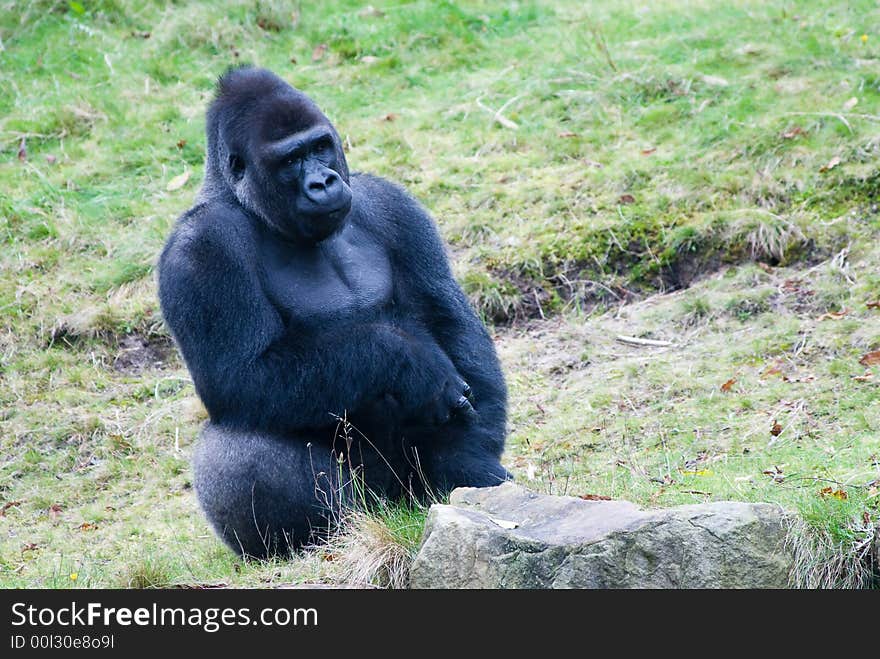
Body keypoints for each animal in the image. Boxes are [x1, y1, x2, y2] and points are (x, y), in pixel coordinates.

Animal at [158, 67, 508, 560]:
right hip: (369, 501)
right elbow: (241, 376)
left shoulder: (390, 203)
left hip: (411, 493)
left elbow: (449, 321)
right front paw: (408, 361)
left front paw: (464, 459)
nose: (322, 182)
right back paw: (325, 537)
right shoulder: (200, 247)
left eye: (320, 147)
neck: (247, 205)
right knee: (235, 446)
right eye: (290, 160)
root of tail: (395, 504)